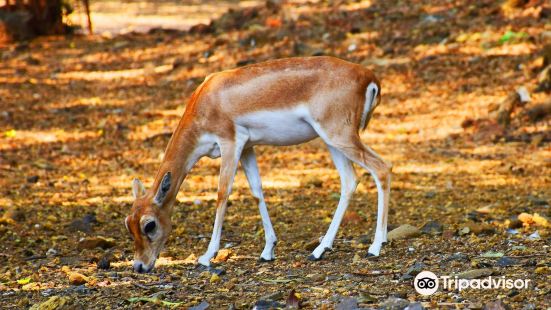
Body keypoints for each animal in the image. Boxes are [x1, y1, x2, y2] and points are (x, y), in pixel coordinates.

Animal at [126, 56, 390, 274]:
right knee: (349, 180)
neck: (206, 100)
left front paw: (206, 256)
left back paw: (375, 247)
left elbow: (222, 193)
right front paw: (267, 251)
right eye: (129, 224)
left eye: (149, 225)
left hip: (339, 135)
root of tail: (369, 76)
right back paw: (319, 250)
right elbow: (256, 190)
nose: (140, 266)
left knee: (382, 168)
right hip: (331, 140)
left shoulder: (230, 143)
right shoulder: (247, 147)